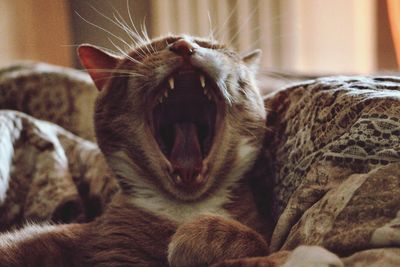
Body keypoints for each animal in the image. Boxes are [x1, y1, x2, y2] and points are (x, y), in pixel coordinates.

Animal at [0, 35, 274, 267]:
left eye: (212, 46)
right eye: (151, 50)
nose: (184, 45)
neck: (187, 210)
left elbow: (261, 242)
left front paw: (197, 237)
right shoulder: (115, 252)